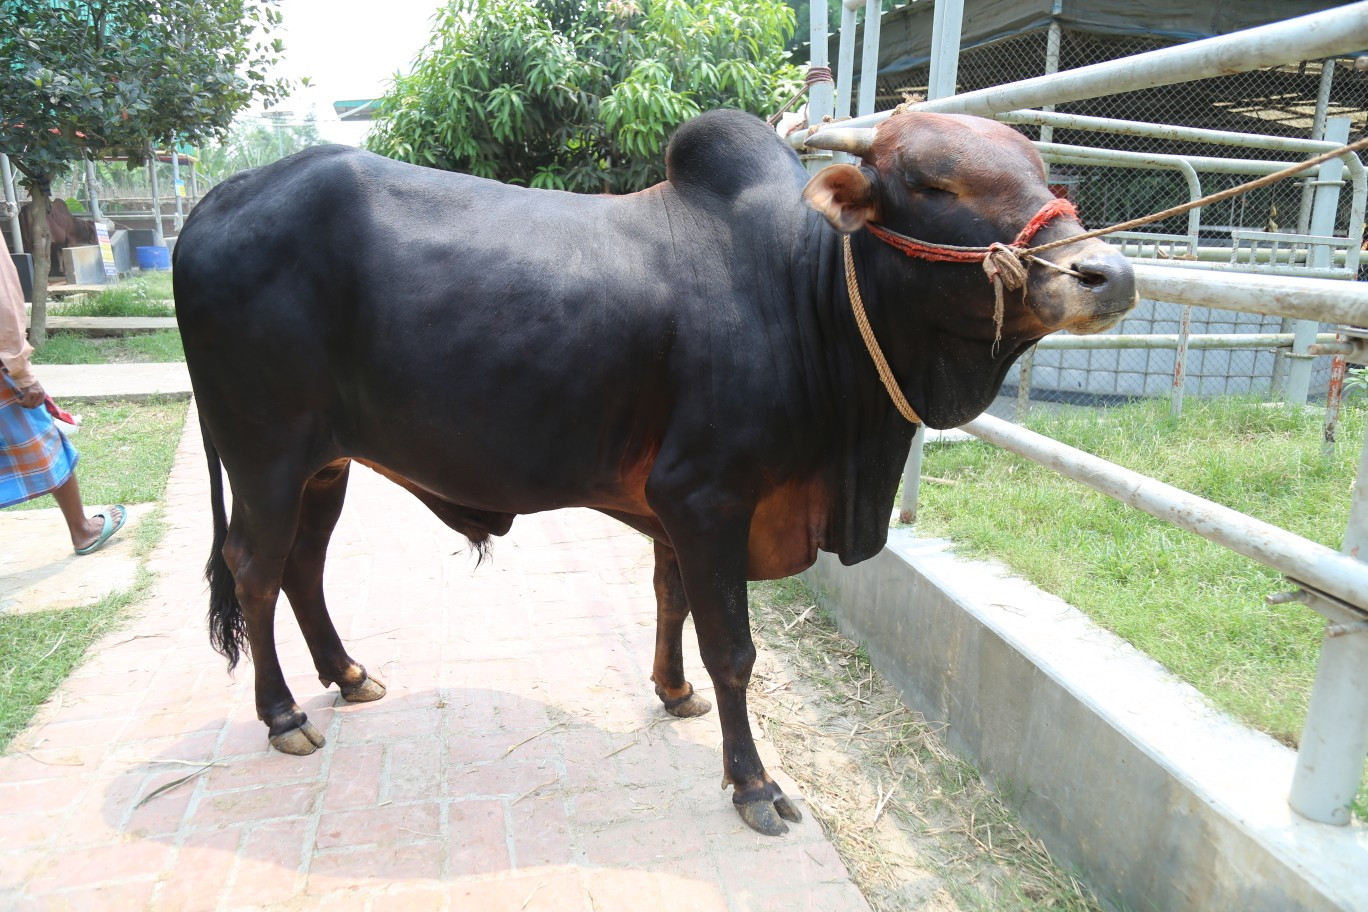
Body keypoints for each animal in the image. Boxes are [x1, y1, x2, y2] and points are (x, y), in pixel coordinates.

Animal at [173, 109, 1136, 836]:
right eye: (937, 186)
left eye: (1041, 169)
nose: (1106, 272)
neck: (803, 290)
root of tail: (218, 197)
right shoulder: (706, 496)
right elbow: (733, 650)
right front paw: (754, 785)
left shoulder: (678, 507)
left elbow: (671, 599)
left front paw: (673, 693)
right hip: (265, 453)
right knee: (256, 571)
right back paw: (284, 714)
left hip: (327, 464)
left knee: (303, 566)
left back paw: (346, 675)